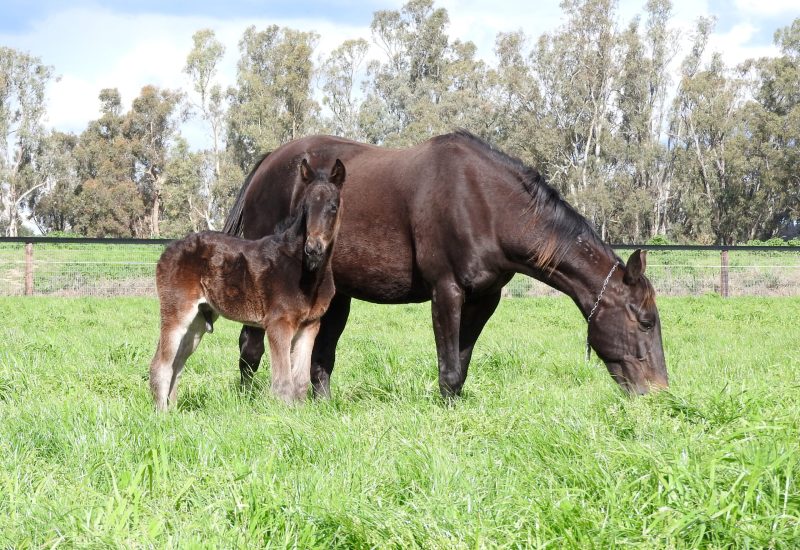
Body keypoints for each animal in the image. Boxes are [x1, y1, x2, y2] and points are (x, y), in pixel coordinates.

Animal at [149, 158, 345, 410]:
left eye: (333, 207)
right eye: (305, 208)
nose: (313, 248)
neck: (306, 270)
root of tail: (168, 249)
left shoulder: (310, 325)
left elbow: (300, 381)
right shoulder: (278, 323)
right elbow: (283, 383)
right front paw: (284, 415)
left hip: (197, 322)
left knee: (177, 364)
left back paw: (174, 411)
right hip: (177, 311)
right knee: (161, 365)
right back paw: (162, 414)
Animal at [223, 131, 668, 398]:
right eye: (646, 322)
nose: (659, 391)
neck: (485, 204)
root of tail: (267, 164)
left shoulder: (484, 299)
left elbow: (461, 364)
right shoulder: (446, 291)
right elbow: (449, 367)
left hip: (337, 295)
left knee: (318, 357)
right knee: (251, 346)